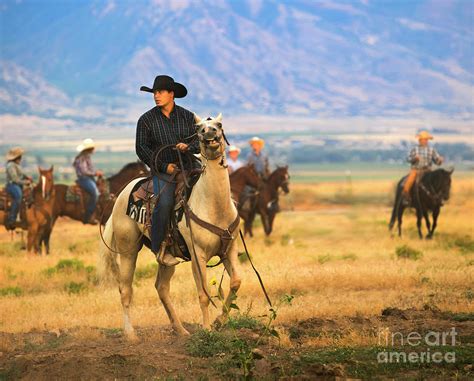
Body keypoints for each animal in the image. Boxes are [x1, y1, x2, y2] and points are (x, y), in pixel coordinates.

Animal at [98, 113, 243, 338]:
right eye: (198, 128)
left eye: (218, 124)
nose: (208, 133)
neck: (215, 206)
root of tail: (121, 195)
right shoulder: (198, 255)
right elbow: (203, 294)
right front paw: (206, 329)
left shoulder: (230, 249)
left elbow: (236, 282)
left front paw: (219, 321)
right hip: (128, 249)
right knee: (125, 289)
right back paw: (130, 334)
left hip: (167, 257)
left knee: (161, 287)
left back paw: (180, 329)